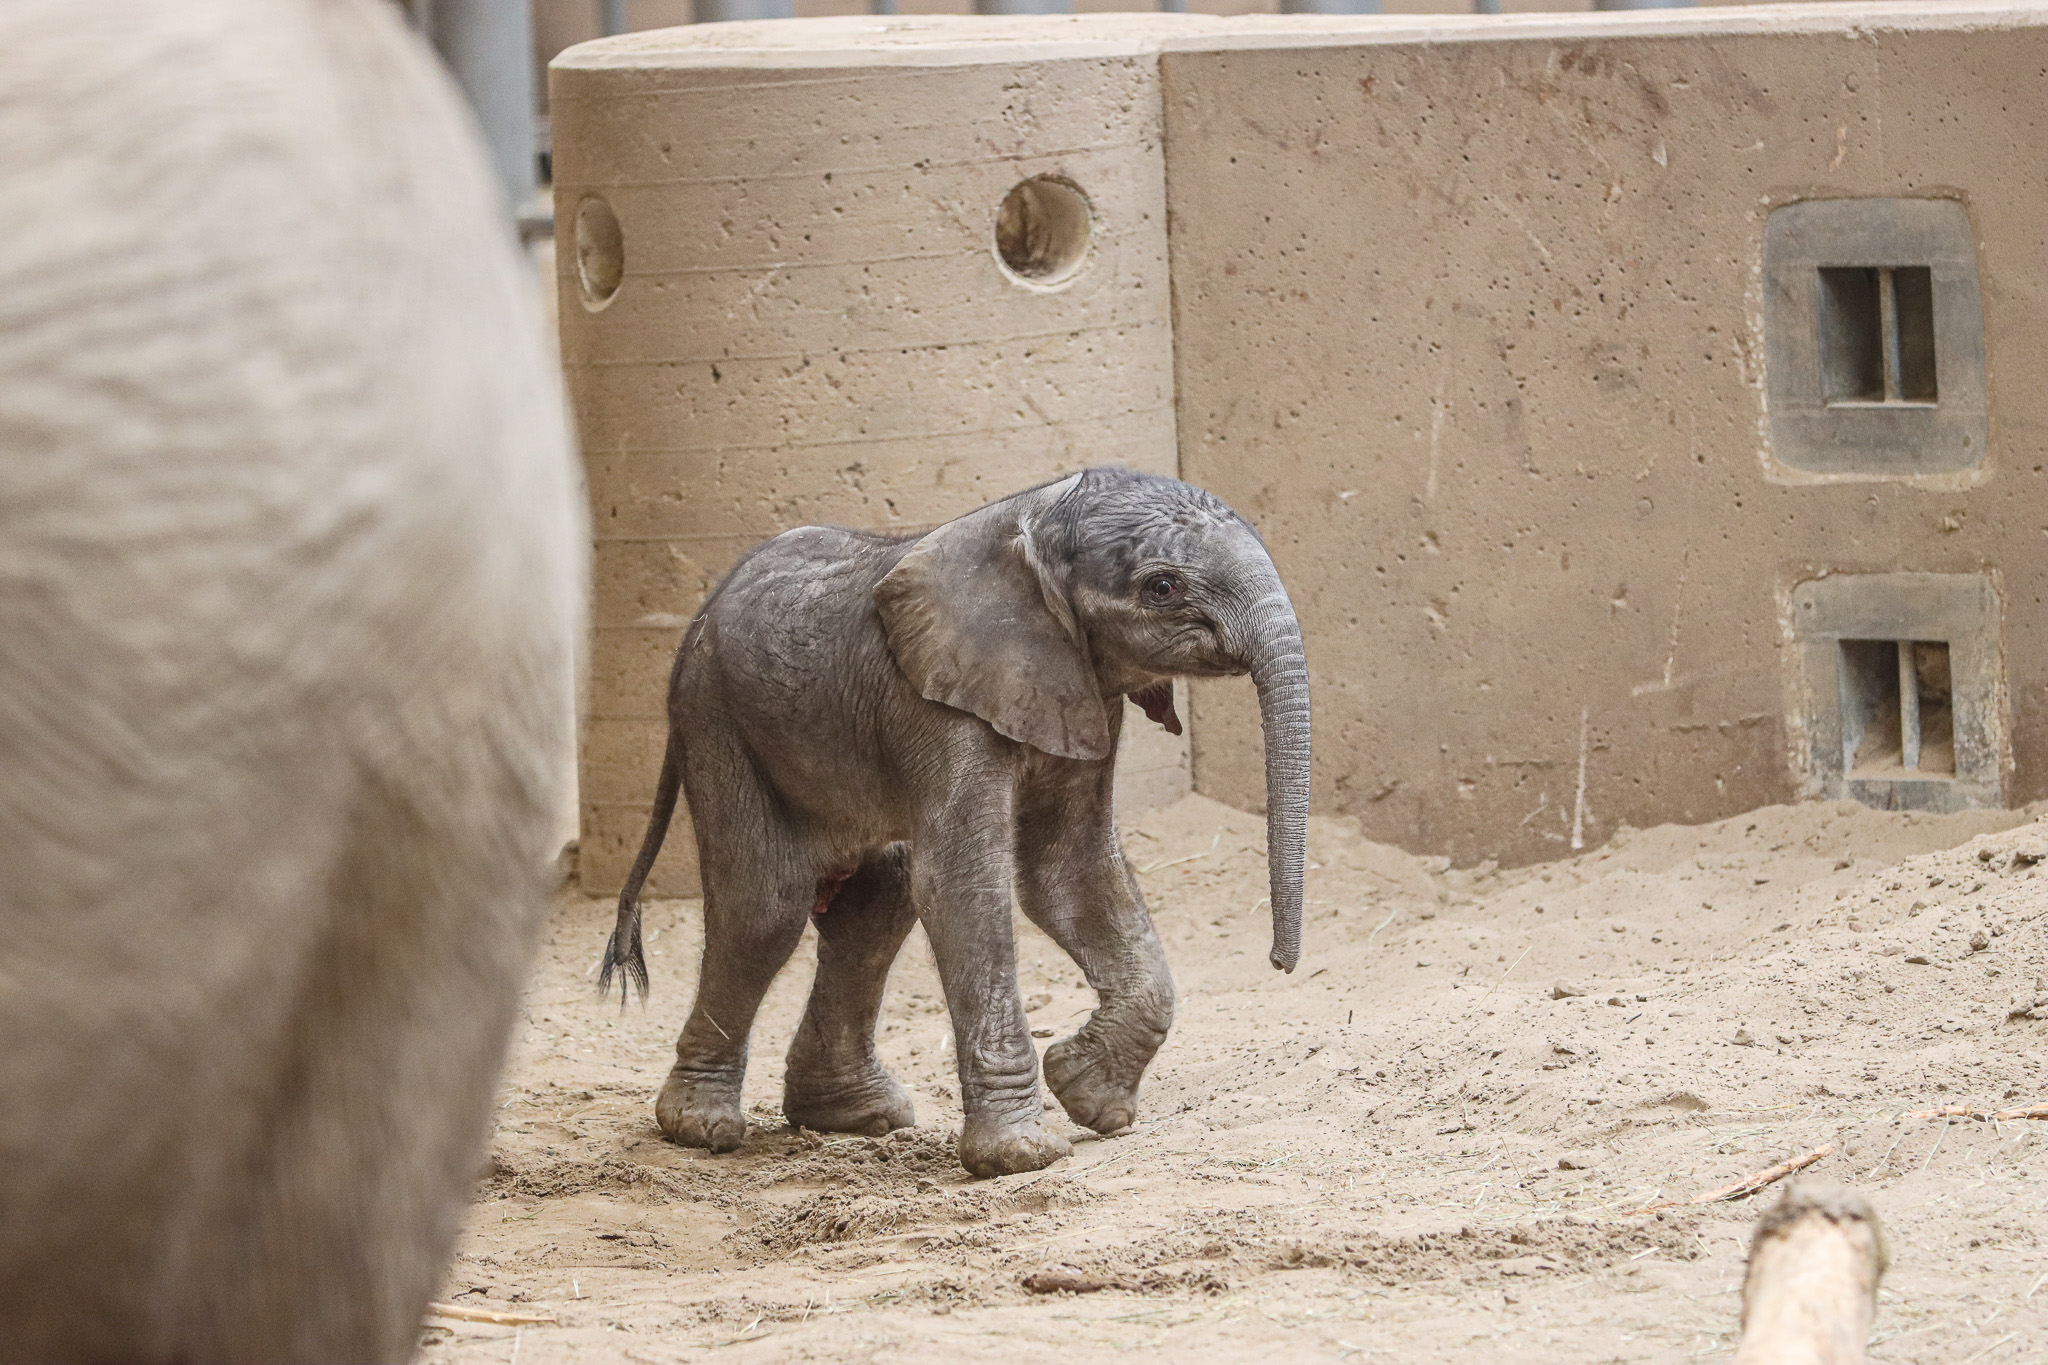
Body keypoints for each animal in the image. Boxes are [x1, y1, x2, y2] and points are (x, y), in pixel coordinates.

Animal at [602, 469, 1309, 1178]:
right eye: (1162, 587)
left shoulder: (1078, 692)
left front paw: (1088, 1095)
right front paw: (1022, 1156)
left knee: (877, 899)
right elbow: (961, 887)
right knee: (764, 910)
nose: (1280, 965)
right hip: (716, 719)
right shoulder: (938, 704)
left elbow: (1069, 874)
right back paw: (700, 1128)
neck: (1037, 520)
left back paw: (854, 1116)